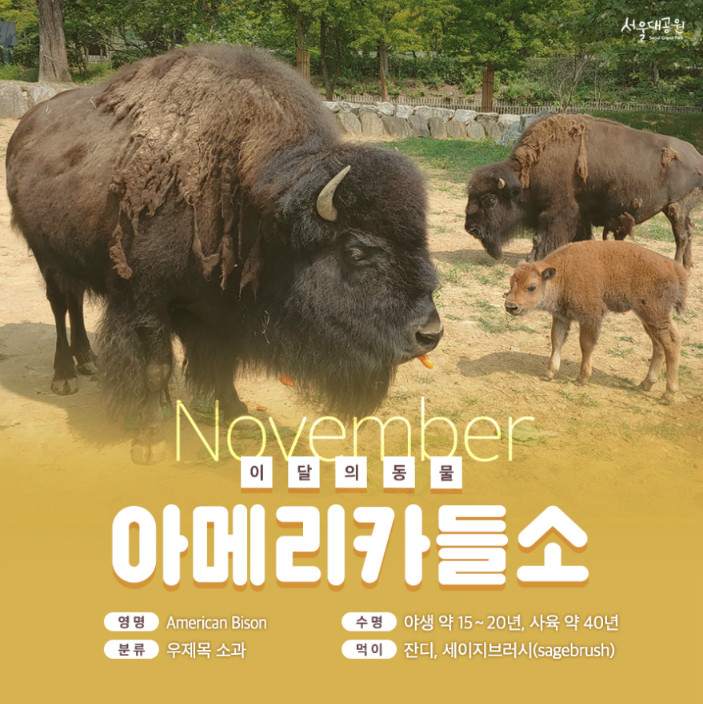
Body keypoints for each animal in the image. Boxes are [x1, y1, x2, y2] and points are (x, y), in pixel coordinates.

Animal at [7, 45, 442, 463]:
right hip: (45, 256)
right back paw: (65, 376)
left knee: (75, 302)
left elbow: (222, 363)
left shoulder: (217, 308)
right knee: (59, 306)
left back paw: (89, 360)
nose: (429, 334)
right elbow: (156, 366)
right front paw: (148, 438)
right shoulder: (145, 300)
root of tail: (27, 126)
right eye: (356, 251)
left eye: (421, 240)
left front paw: (237, 413)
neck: (256, 207)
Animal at [465, 113, 703, 267]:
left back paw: (678, 264)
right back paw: (688, 264)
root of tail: (696, 156)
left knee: (681, 235)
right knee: (690, 231)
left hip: (676, 207)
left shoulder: (557, 209)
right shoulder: (580, 213)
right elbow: (579, 236)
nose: (471, 228)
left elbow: (540, 237)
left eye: (491, 199)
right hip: (680, 209)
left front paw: (531, 259)